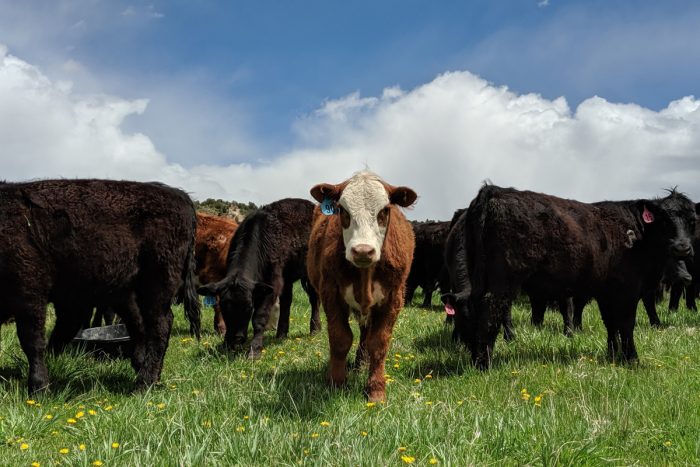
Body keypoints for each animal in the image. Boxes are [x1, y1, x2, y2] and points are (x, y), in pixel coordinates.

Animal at [0, 179, 201, 394]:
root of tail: (177, 194)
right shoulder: (68, 299)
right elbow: (58, 334)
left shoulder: (30, 294)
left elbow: (33, 341)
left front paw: (39, 387)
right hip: (125, 291)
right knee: (138, 324)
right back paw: (143, 370)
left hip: (157, 285)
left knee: (159, 326)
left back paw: (143, 383)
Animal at [198, 197, 322, 358]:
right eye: (224, 307)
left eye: (249, 307)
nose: (235, 339)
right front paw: (225, 345)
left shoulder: (271, 284)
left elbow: (260, 317)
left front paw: (254, 349)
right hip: (286, 276)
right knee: (286, 301)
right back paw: (281, 334)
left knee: (314, 299)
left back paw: (315, 329)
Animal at [306, 172, 416, 402]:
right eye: (342, 210)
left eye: (384, 210)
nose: (363, 250)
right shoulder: (330, 292)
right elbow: (340, 338)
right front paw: (336, 382)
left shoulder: (394, 299)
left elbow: (379, 343)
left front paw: (376, 389)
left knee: (367, 335)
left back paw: (362, 364)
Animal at [448, 185, 696, 372]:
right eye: (664, 220)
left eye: (692, 221)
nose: (682, 247)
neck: (638, 236)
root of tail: (493, 191)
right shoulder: (628, 289)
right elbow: (626, 323)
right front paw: (632, 359)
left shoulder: (606, 291)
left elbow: (610, 323)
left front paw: (612, 355)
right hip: (503, 280)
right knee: (491, 310)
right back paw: (484, 365)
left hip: (479, 279)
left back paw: (475, 359)